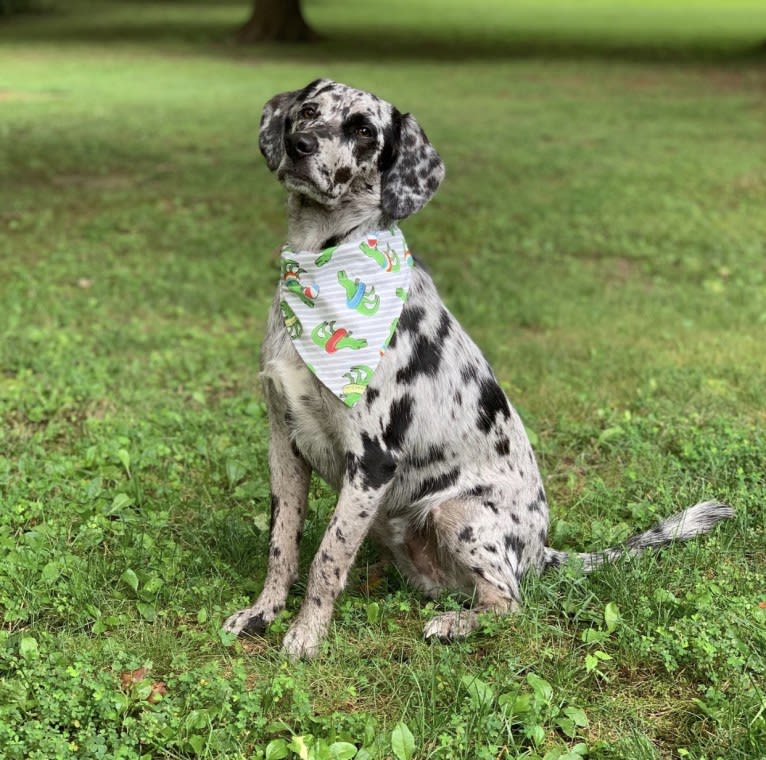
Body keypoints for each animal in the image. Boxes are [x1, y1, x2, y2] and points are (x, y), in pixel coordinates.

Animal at [220, 78, 732, 660]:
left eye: (364, 130)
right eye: (307, 111)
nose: (300, 144)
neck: (321, 263)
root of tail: (541, 552)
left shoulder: (371, 462)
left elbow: (328, 556)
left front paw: (307, 634)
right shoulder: (285, 444)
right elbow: (282, 545)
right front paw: (264, 613)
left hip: (457, 514)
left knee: (509, 602)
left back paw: (454, 623)